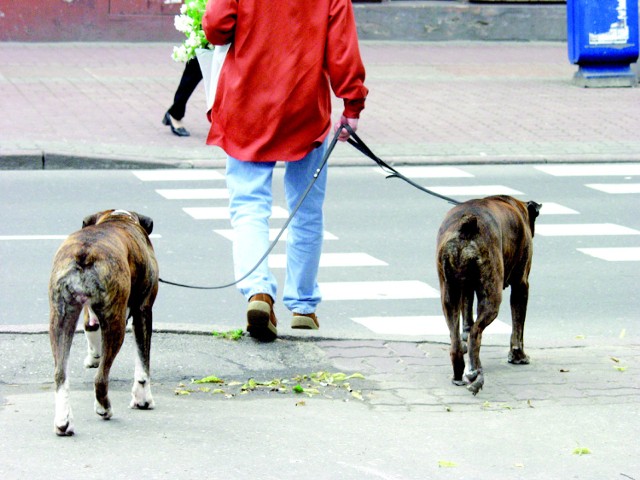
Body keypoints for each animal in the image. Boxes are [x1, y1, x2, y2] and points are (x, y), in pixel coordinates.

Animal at [48, 209, 159, 436]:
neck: (119, 218)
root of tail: (85, 252)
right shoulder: (143, 311)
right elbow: (143, 363)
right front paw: (143, 399)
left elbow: (91, 330)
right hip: (115, 324)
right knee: (100, 378)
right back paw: (104, 408)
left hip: (60, 319)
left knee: (60, 374)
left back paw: (63, 422)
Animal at [436, 194, 540, 394]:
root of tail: (467, 227)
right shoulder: (521, 285)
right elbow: (518, 327)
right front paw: (518, 356)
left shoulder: (467, 288)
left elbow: (467, 317)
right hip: (492, 299)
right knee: (476, 334)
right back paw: (475, 374)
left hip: (449, 295)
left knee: (456, 340)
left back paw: (459, 373)